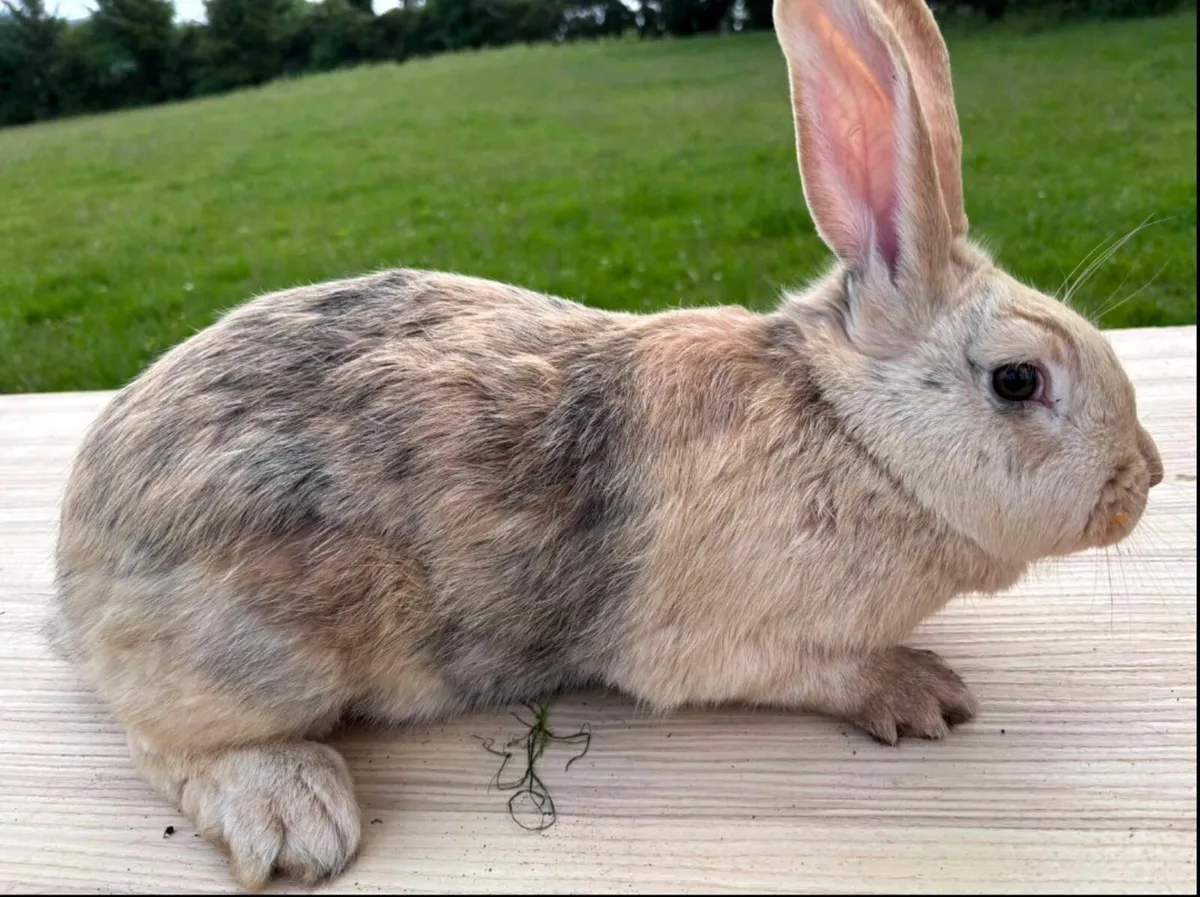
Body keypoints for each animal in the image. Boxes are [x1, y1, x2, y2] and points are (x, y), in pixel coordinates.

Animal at [47, 0, 1163, 889]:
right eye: (1018, 381)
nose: (1144, 479)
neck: (856, 434)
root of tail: (76, 566)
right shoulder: (736, 645)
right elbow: (820, 672)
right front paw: (921, 693)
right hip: (260, 650)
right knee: (163, 739)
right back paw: (296, 814)